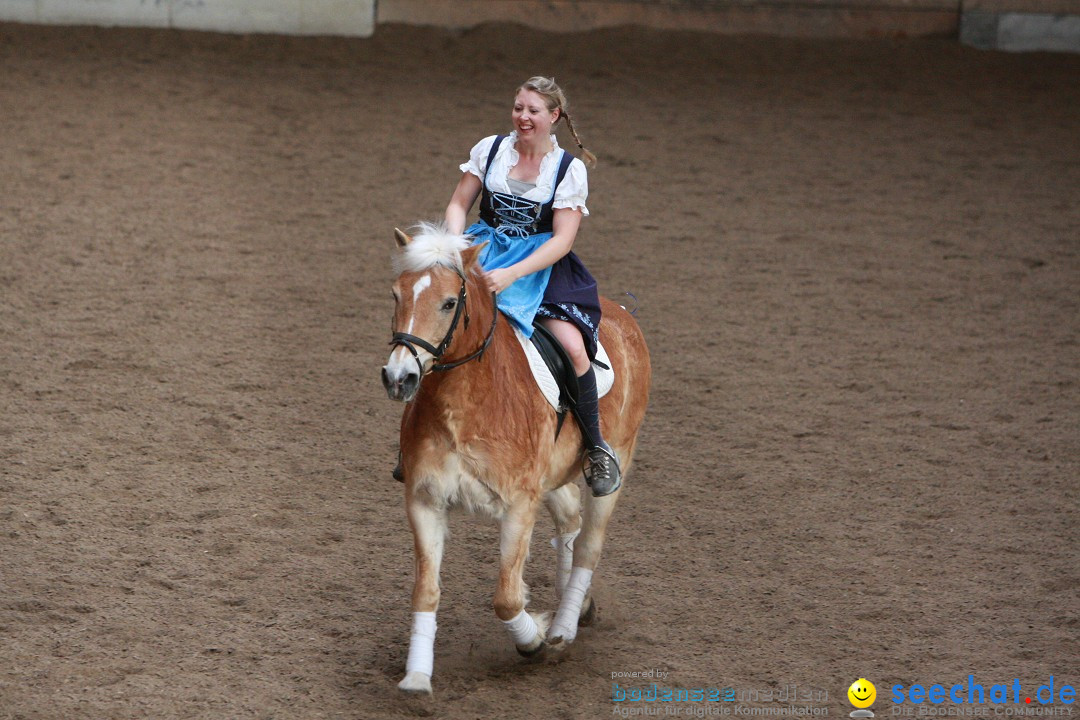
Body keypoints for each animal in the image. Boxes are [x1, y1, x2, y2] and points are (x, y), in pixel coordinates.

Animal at [380, 223, 648, 690]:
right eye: (398, 295)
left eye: (449, 302)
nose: (399, 378)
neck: (464, 405)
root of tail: (622, 314)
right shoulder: (424, 500)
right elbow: (425, 591)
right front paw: (416, 676)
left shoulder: (520, 504)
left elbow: (505, 597)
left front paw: (535, 640)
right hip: (551, 475)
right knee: (569, 520)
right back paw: (576, 607)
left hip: (615, 462)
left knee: (588, 544)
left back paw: (564, 628)